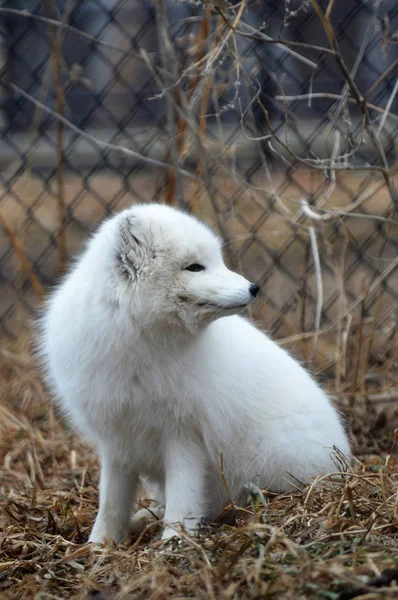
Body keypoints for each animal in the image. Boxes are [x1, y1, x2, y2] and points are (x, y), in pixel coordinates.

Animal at [40, 203, 350, 544]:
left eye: (217, 260)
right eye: (194, 267)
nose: (254, 288)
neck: (138, 342)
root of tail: (345, 460)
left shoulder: (184, 436)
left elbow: (183, 497)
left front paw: (173, 543)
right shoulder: (117, 440)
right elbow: (110, 504)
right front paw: (98, 546)